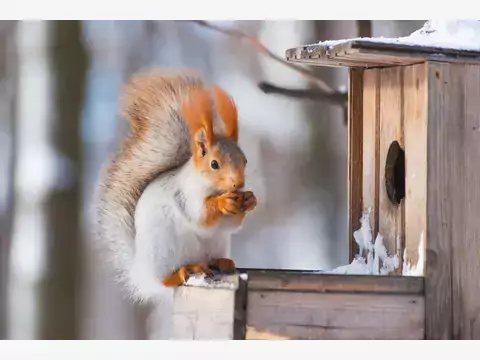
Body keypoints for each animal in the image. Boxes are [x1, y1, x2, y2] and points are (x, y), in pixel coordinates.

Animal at [93, 69, 255, 338]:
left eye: (245, 160)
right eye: (214, 164)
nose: (238, 184)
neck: (208, 185)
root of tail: (141, 271)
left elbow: (231, 225)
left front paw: (249, 200)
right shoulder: (186, 196)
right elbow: (200, 217)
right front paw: (223, 202)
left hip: (216, 245)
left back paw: (219, 262)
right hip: (165, 251)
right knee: (165, 279)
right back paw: (184, 271)